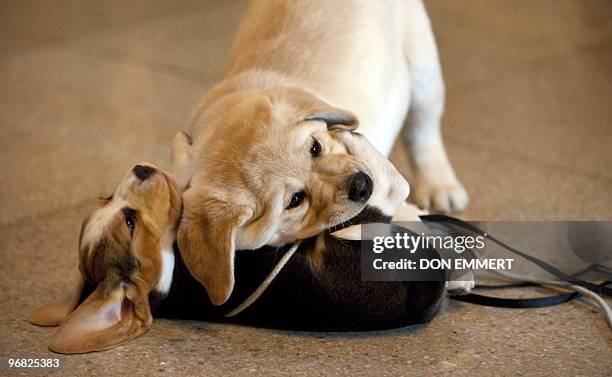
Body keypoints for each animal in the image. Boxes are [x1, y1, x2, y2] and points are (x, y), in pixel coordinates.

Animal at [175, 0, 466, 306]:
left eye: (315, 148)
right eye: (296, 200)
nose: (363, 185)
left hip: (421, 62)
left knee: (423, 130)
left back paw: (440, 185)